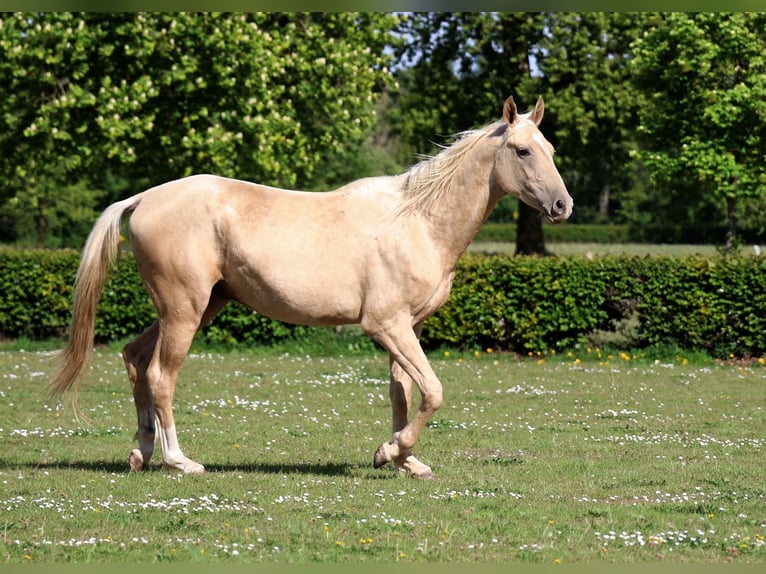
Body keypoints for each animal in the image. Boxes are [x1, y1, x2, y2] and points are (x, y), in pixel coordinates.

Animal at [49, 95, 572, 479]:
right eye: (523, 151)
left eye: (550, 149)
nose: (562, 206)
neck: (418, 220)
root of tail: (143, 198)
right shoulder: (385, 325)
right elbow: (434, 391)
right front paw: (391, 451)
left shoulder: (409, 327)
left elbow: (404, 393)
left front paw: (403, 459)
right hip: (184, 310)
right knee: (160, 375)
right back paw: (180, 461)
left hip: (196, 307)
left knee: (136, 358)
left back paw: (140, 453)